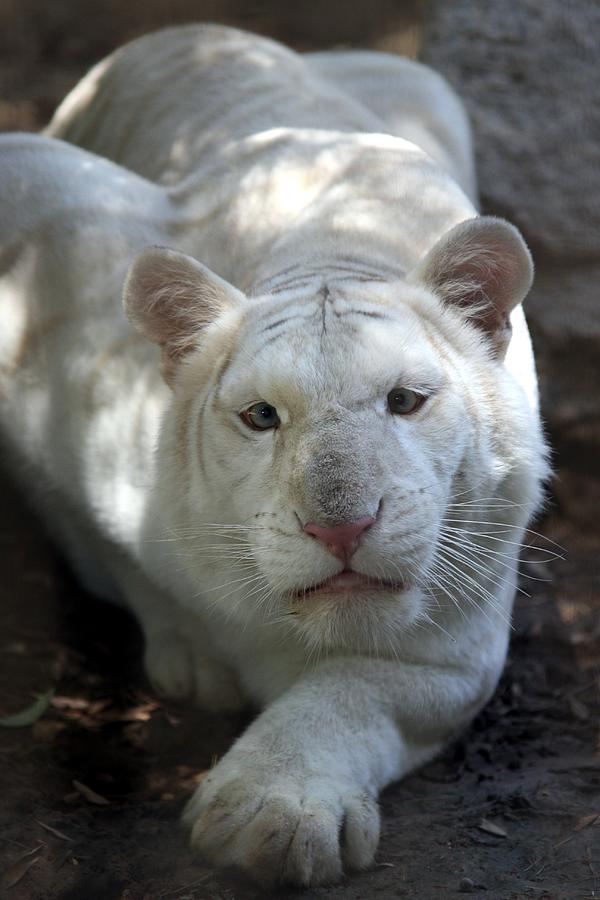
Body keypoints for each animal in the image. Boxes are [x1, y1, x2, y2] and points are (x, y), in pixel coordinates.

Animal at [0, 24, 548, 888]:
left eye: (405, 401)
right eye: (262, 417)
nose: (342, 529)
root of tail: (190, 31)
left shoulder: (456, 646)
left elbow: (354, 691)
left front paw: (271, 812)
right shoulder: (42, 229)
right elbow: (96, 536)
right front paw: (189, 650)